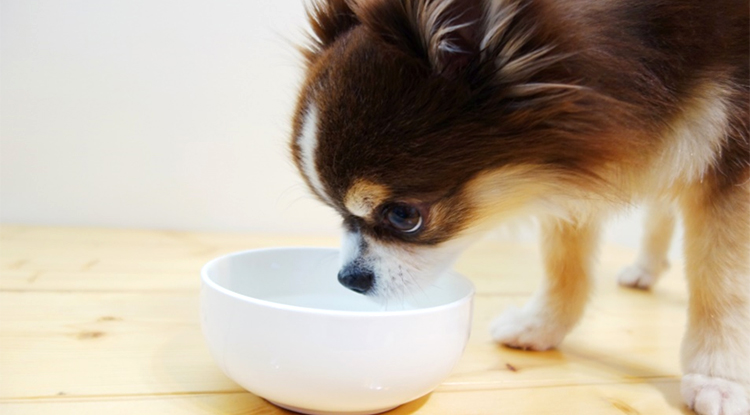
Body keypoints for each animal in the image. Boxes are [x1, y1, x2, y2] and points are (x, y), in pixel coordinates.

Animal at [290, 0, 750, 412]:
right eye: (337, 213)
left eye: (404, 216)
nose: (349, 279)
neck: (647, 48)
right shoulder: (567, 166)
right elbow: (565, 260)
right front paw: (541, 325)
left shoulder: (733, 157)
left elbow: (721, 283)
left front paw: (719, 377)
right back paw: (645, 269)